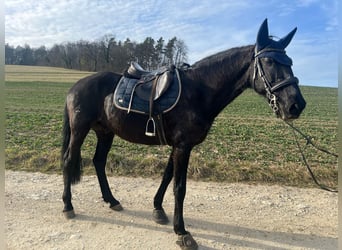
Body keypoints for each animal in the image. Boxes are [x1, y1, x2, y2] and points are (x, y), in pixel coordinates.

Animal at [62, 19, 308, 248]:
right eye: (269, 61)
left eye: (291, 62)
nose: (296, 105)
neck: (198, 91)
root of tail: (75, 87)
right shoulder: (183, 146)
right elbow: (179, 187)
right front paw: (181, 232)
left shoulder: (178, 145)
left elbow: (167, 175)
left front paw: (158, 209)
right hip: (80, 130)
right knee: (68, 160)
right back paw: (68, 205)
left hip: (105, 132)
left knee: (98, 162)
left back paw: (112, 200)